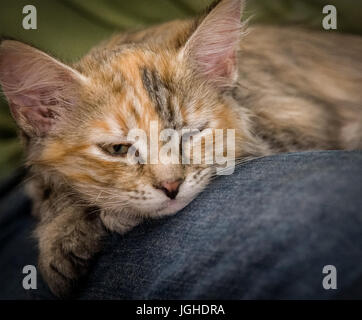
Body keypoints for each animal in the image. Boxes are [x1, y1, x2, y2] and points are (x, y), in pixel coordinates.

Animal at [0, 0, 362, 298]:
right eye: (118, 149)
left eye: (188, 134)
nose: (171, 186)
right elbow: (49, 184)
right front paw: (62, 229)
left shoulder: (298, 119)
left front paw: (103, 216)